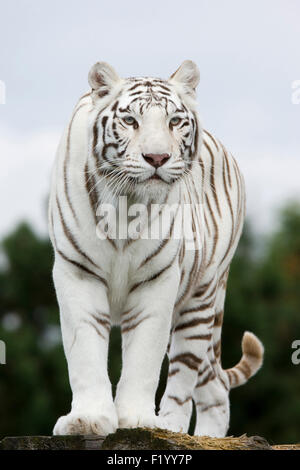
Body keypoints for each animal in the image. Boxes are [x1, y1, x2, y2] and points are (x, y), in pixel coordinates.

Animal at [48, 58, 262, 436]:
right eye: (130, 121)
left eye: (174, 121)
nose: (157, 157)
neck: (125, 205)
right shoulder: (78, 273)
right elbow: (85, 351)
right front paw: (88, 419)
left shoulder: (158, 280)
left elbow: (144, 357)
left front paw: (136, 419)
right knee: (215, 390)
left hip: (199, 302)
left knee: (187, 382)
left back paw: (171, 428)